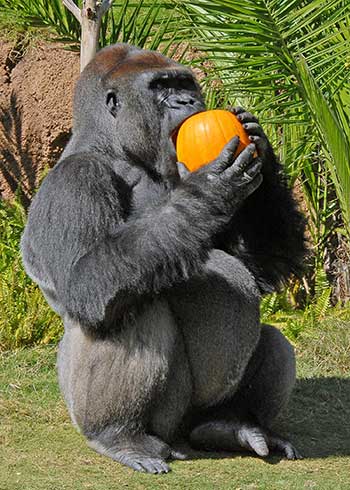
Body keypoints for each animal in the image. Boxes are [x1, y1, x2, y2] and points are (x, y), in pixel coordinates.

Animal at [21, 44, 306, 472]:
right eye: (161, 87)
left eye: (185, 84)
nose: (187, 101)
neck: (118, 151)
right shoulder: (74, 181)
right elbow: (85, 284)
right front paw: (207, 191)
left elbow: (257, 271)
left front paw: (264, 154)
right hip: (105, 412)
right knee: (132, 315)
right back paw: (118, 436)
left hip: (195, 419)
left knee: (272, 342)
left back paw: (233, 425)